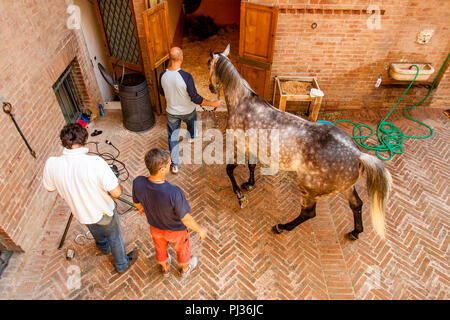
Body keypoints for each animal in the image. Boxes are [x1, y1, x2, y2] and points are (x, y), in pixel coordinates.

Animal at [209, 45, 392, 240]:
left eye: (208, 64)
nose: (211, 88)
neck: (243, 103)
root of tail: (358, 155)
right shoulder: (253, 148)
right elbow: (251, 165)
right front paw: (249, 184)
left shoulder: (237, 145)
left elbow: (230, 169)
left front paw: (239, 195)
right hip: (347, 188)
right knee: (356, 205)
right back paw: (355, 232)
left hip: (309, 190)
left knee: (308, 213)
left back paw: (281, 227)